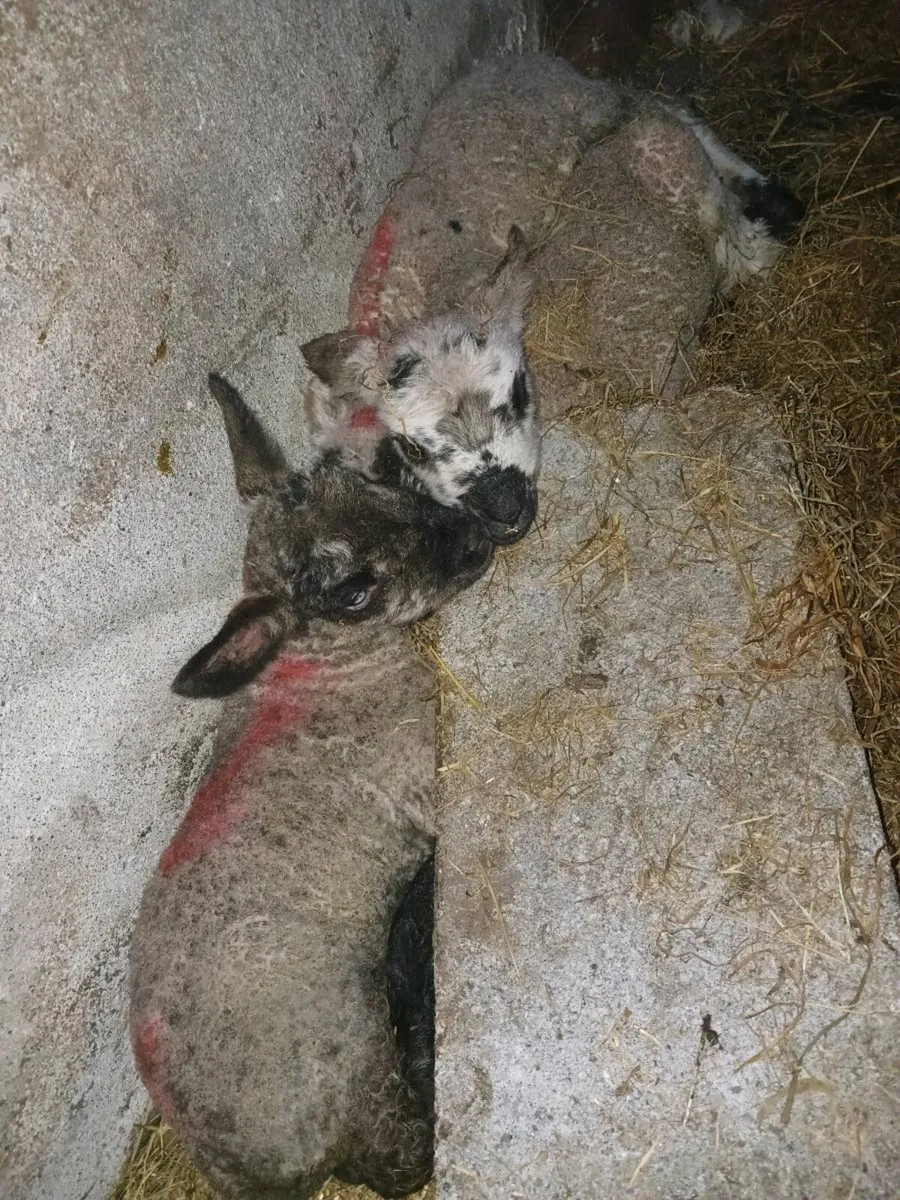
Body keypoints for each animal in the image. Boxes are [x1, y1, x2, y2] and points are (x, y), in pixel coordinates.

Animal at [128, 375, 492, 1199]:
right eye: (352, 593)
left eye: (369, 479)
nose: (478, 540)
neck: (318, 670)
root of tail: (240, 1167)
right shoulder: (419, 781)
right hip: (360, 1079)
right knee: (398, 1161)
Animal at [300, 54, 803, 541]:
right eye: (410, 448)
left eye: (520, 392)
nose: (504, 510)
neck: (433, 289)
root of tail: (508, 60)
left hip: (606, 107)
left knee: (675, 118)